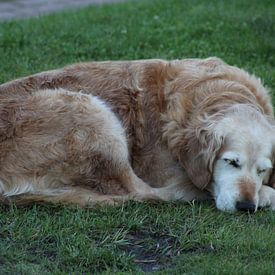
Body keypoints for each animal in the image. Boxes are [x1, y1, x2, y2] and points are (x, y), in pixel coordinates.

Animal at [0, 57, 275, 213]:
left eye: (263, 170)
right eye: (231, 162)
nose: (246, 206)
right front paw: (265, 194)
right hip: (91, 112)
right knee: (140, 192)